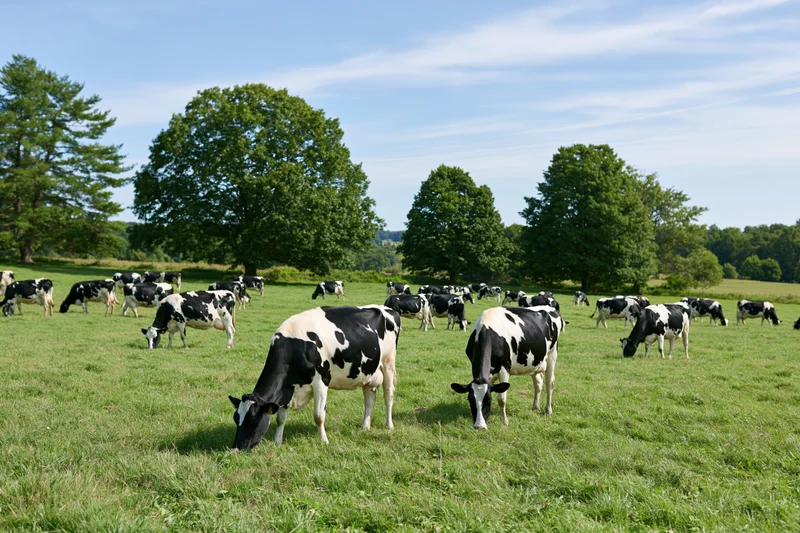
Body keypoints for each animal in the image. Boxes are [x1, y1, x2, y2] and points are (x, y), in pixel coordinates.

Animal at [228, 305, 401, 449]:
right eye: (236, 418)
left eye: (252, 420)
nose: (236, 448)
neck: (295, 345)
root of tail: (387, 309)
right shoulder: (287, 388)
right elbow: (280, 418)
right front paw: (277, 441)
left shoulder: (321, 382)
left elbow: (318, 416)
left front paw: (324, 441)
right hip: (369, 371)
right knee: (369, 398)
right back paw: (365, 426)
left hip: (388, 362)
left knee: (388, 395)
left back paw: (389, 425)